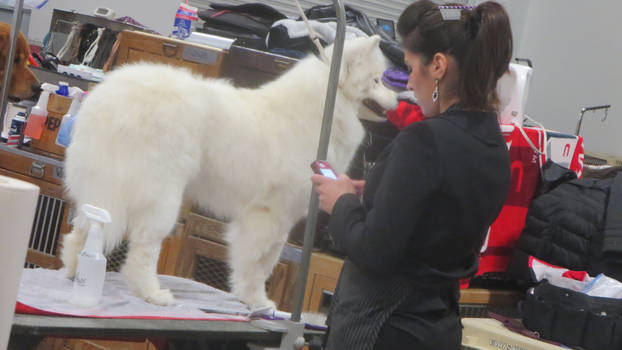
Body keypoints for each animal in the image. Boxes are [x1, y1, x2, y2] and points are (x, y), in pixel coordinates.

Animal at [61, 35, 398, 308]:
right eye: (377, 81)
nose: (399, 99)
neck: (324, 111)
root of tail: (111, 98)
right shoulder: (270, 214)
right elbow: (259, 264)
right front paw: (255, 301)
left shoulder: (279, 217)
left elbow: (264, 261)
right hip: (162, 195)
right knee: (143, 247)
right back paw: (153, 294)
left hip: (105, 187)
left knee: (83, 229)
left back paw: (75, 270)